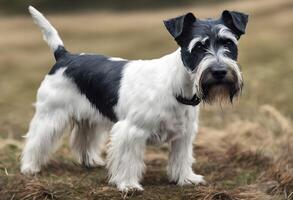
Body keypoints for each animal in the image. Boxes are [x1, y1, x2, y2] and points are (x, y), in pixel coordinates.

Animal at [21, 5, 248, 191]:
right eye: (199, 47)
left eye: (229, 43)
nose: (219, 71)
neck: (176, 85)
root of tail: (64, 56)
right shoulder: (131, 131)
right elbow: (128, 161)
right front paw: (127, 184)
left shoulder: (183, 135)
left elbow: (181, 158)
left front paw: (185, 178)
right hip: (50, 116)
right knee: (36, 141)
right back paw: (29, 167)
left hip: (89, 118)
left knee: (83, 138)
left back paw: (90, 161)